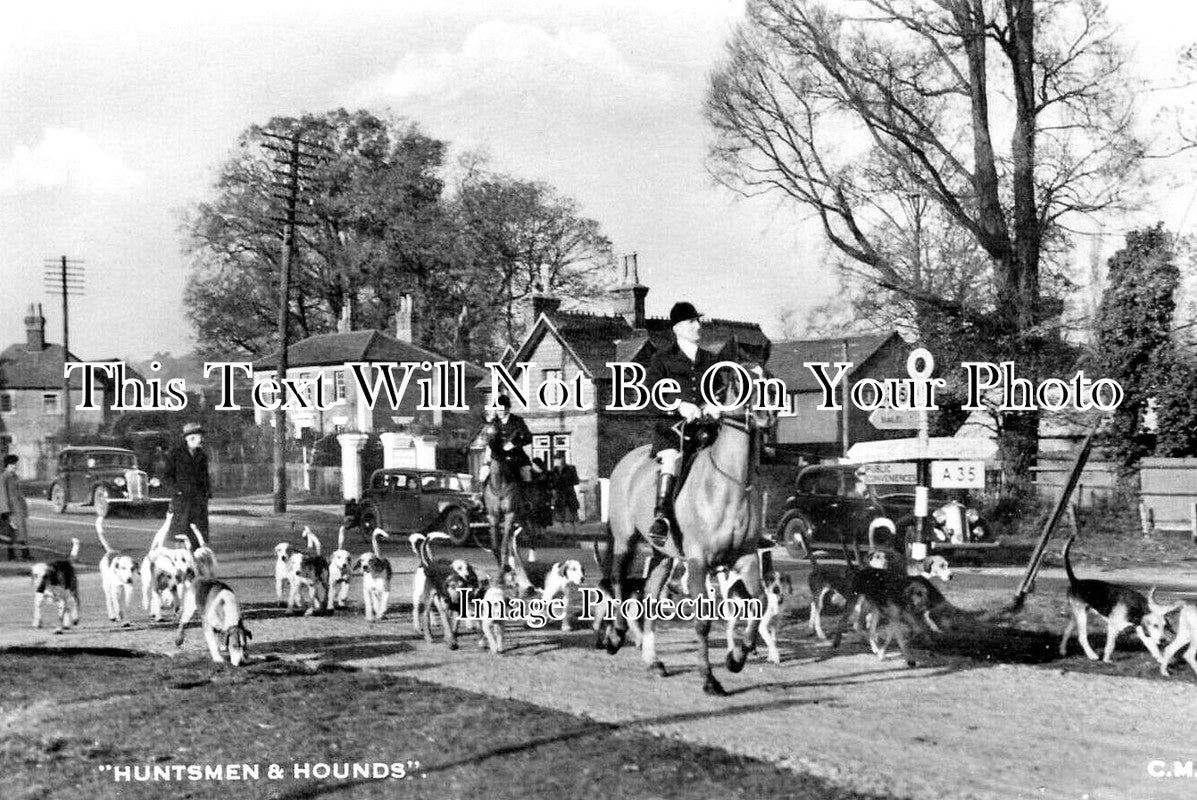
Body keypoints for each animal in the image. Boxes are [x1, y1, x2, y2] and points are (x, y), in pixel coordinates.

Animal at [598, 366, 775, 694]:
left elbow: (761, 602)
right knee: (618, 580)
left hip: (663, 555)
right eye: (741, 381)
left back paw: (653, 660)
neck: (729, 485)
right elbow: (702, 621)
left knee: (650, 598)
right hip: (626, 539)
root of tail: (628, 460)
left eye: (768, 377)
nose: (766, 415)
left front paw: (736, 658)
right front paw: (709, 678)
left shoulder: (745, 557)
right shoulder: (697, 561)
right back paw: (615, 635)